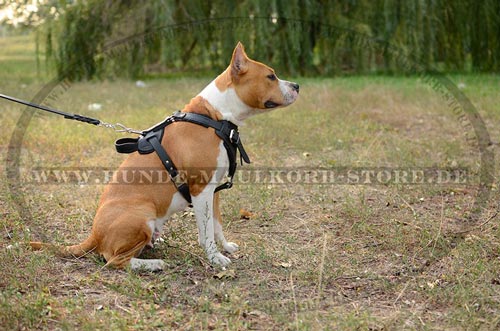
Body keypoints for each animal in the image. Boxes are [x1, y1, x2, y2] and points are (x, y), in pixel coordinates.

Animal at [31, 42, 298, 272]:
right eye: (271, 76)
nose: (296, 85)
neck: (214, 117)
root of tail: (94, 235)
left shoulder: (214, 191)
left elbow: (217, 225)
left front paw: (225, 247)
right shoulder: (201, 189)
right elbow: (206, 232)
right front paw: (215, 258)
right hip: (141, 216)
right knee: (114, 261)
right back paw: (153, 264)